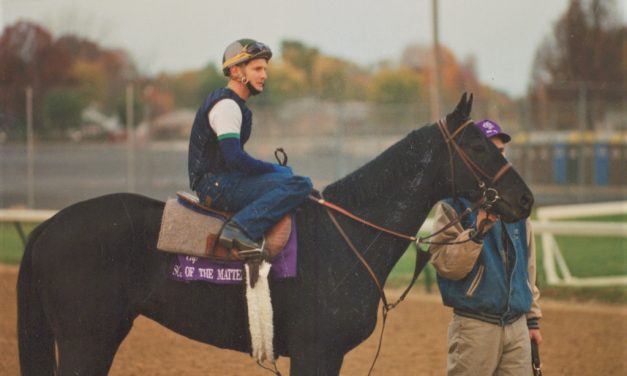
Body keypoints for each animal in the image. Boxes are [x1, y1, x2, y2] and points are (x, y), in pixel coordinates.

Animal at [15, 93, 536, 374]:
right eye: (477, 145)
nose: (526, 199)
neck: (345, 237)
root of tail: (48, 226)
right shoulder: (315, 353)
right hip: (87, 340)